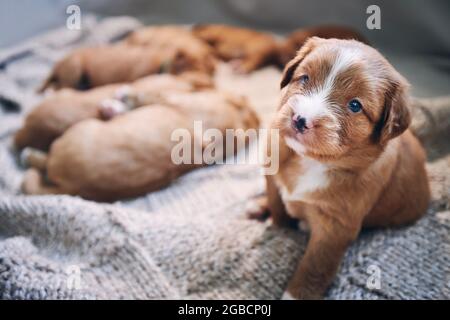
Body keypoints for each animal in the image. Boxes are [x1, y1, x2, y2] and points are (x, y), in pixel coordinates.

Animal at [22, 89, 260, 200]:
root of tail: (71, 188)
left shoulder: (168, 98)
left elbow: (144, 97)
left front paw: (123, 98)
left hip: (77, 130)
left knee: (42, 160)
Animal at [248, 38, 430, 300]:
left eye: (355, 105)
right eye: (304, 78)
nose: (300, 119)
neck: (311, 162)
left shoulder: (335, 228)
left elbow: (314, 266)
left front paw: (294, 295)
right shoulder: (273, 175)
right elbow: (278, 207)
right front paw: (278, 223)